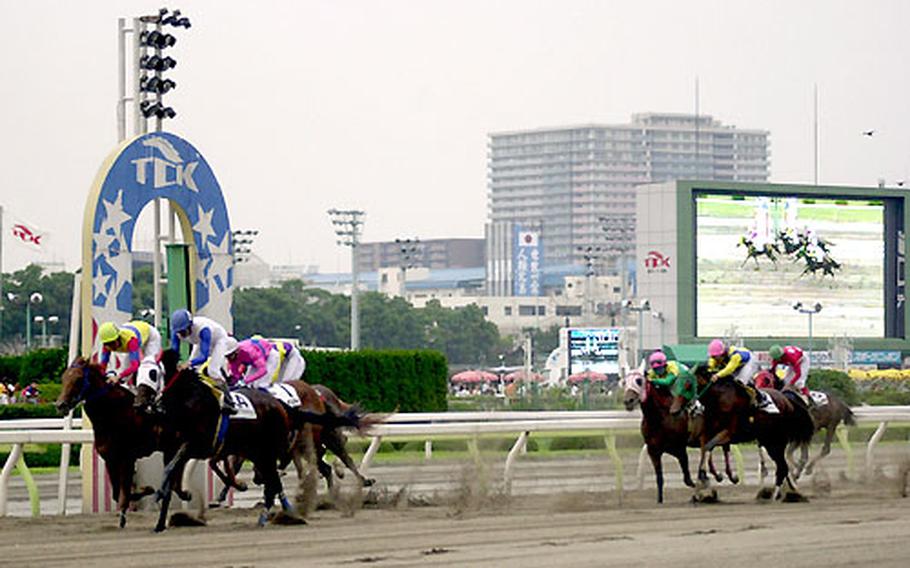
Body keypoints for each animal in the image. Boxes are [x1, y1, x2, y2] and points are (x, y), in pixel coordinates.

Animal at [55, 360, 162, 528]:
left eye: (79, 379)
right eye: (63, 378)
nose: (60, 405)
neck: (112, 413)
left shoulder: (127, 458)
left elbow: (124, 491)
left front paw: (145, 491)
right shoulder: (110, 459)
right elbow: (117, 493)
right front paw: (144, 491)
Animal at [672, 364, 816, 502]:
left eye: (688, 385)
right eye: (676, 383)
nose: (674, 410)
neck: (719, 399)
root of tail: (787, 400)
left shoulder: (728, 433)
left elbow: (708, 448)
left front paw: (711, 483)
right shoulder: (709, 434)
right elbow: (706, 451)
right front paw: (701, 489)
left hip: (776, 441)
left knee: (783, 467)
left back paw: (774, 496)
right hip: (768, 440)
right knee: (783, 467)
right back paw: (789, 493)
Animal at [700, 193, 884, 340]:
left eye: (740, 240)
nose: (737, 244)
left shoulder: (805, 262)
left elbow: (753, 260)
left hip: (821, 265)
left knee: (826, 271)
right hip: (818, 264)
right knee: (824, 271)